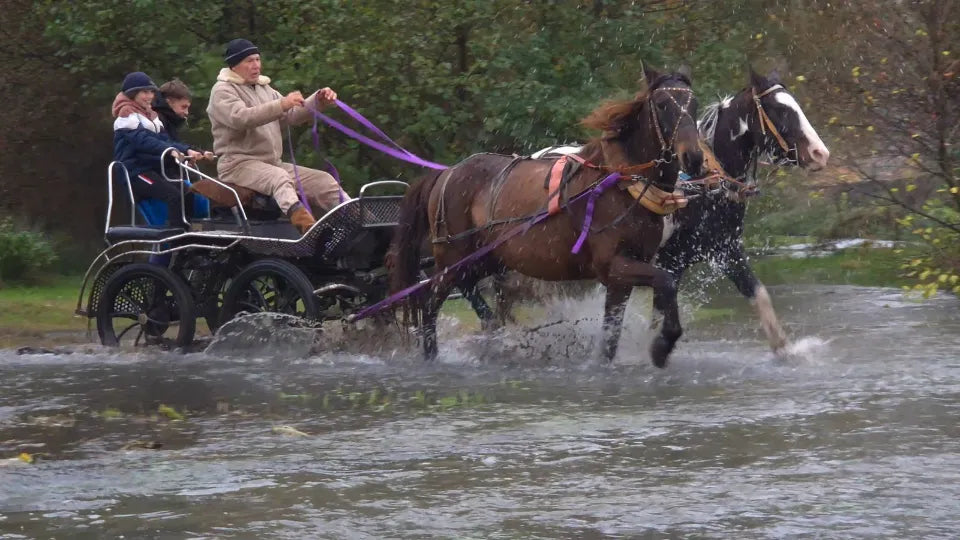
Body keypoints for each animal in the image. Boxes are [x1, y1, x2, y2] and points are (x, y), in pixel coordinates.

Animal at [389, 67, 704, 367]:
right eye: (662, 104)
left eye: (695, 104)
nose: (694, 158)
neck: (619, 183)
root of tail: (447, 173)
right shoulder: (613, 265)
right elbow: (666, 281)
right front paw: (663, 345)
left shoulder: (623, 276)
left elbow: (612, 335)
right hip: (453, 258)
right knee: (431, 303)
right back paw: (433, 356)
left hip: (486, 259)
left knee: (468, 290)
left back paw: (493, 330)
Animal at [653, 68, 830, 353]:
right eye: (779, 110)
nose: (820, 153)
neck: (701, 187)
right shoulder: (667, 264)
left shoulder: (727, 252)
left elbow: (760, 295)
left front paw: (785, 350)